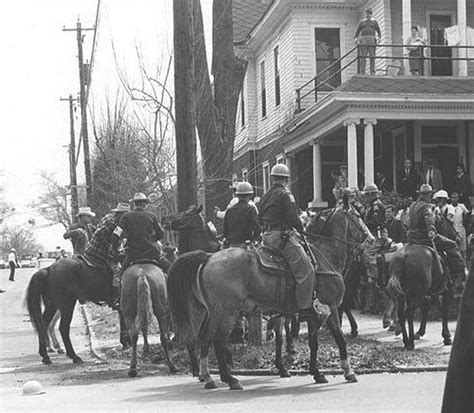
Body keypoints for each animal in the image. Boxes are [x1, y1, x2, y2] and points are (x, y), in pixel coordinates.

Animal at [167, 200, 374, 390]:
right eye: (357, 215)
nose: (371, 239)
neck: (323, 256)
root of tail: (208, 257)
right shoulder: (329, 308)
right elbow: (339, 338)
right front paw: (348, 371)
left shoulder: (308, 314)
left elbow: (310, 343)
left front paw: (315, 372)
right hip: (226, 313)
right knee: (215, 340)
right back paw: (226, 378)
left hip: (213, 312)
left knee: (205, 338)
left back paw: (208, 375)